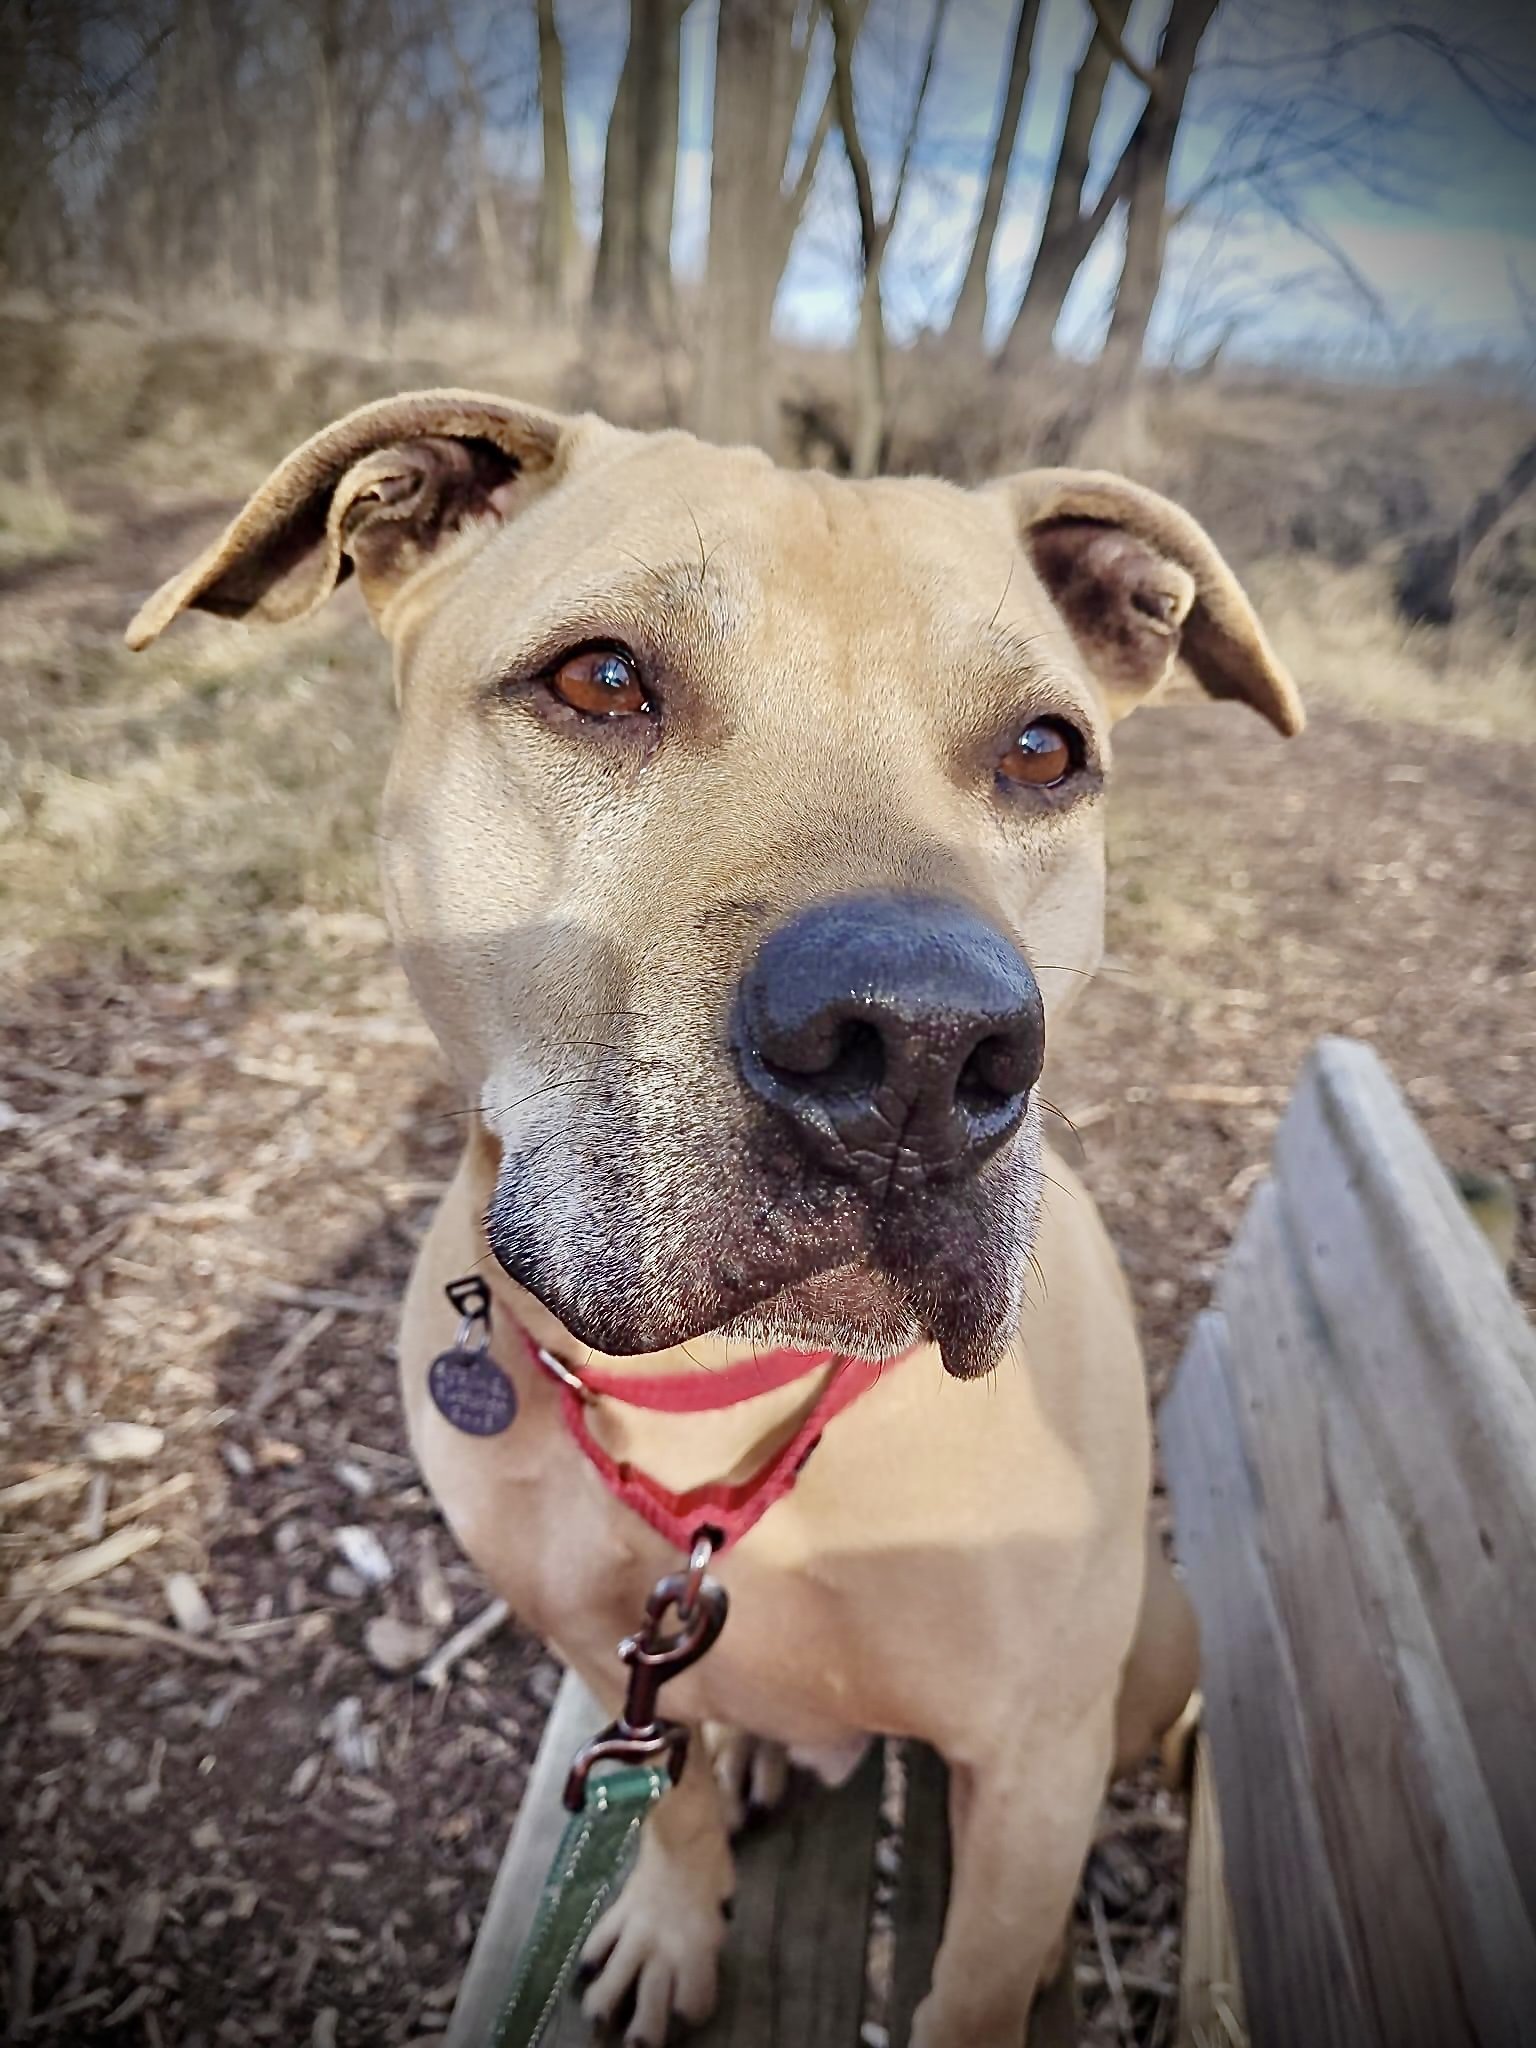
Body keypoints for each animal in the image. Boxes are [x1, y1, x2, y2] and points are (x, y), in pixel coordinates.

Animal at [138, 391, 1302, 2039]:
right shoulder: (600, 1650)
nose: (925, 1047)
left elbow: (972, 1985)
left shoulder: (1031, 1771)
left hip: (1153, 1641)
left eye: (1043, 751)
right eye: (601, 678)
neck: (721, 1385)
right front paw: (675, 1925)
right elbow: (669, 1806)